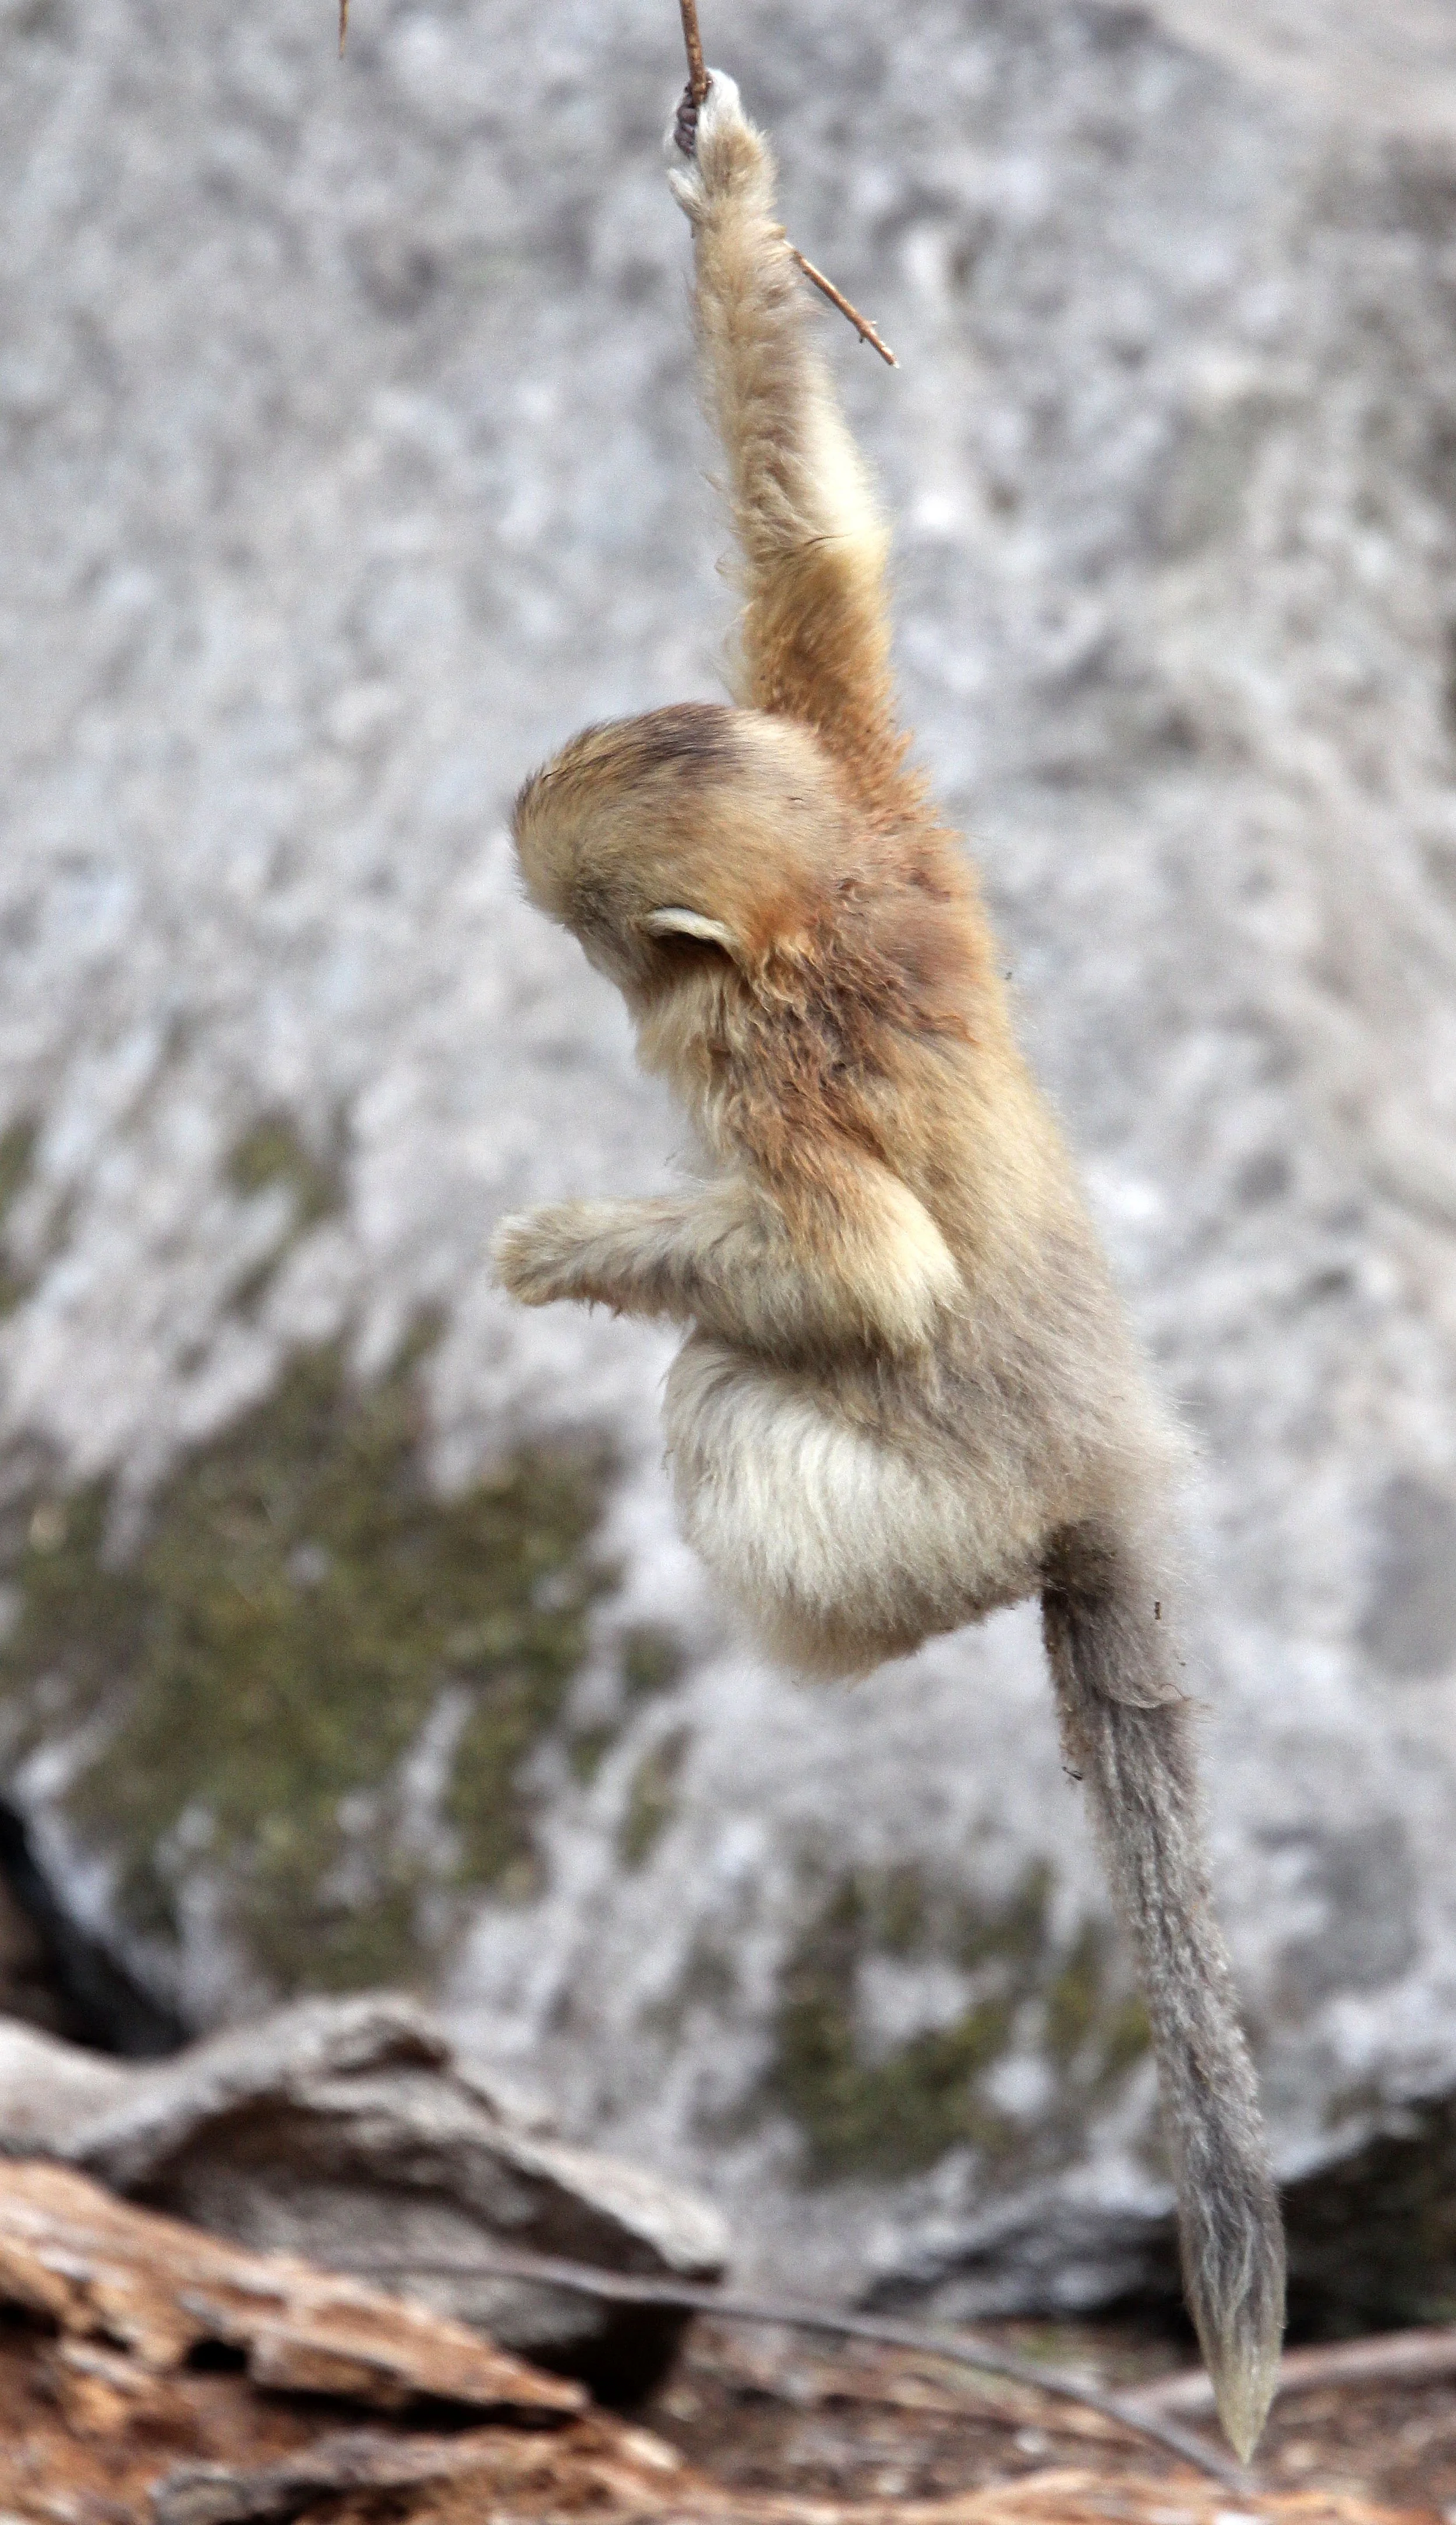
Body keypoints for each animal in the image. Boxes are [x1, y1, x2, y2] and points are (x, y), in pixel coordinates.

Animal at [492, 71, 1284, 2461]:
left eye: (584, 930)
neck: (815, 905)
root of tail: (1094, 1469)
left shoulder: (752, 1060)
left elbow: (860, 1274)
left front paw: (562, 1243)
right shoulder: (854, 764)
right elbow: (814, 553)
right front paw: (726, 186)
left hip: (919, 1519)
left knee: (726, 1393)